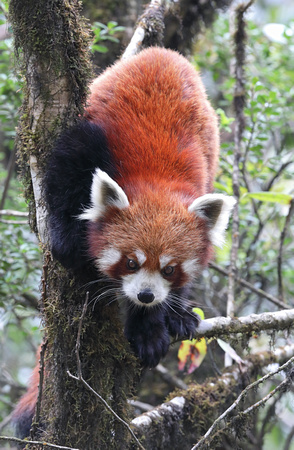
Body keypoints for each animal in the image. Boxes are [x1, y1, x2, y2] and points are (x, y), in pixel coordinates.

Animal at [44, 46, 237, 370]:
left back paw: (179, 314)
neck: (157, 179)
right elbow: (66, 174)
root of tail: (164, 52)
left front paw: (150, 327)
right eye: (131, 262)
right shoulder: (87, 142)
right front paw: (67, 242)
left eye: (169, 269)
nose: (146, 295)